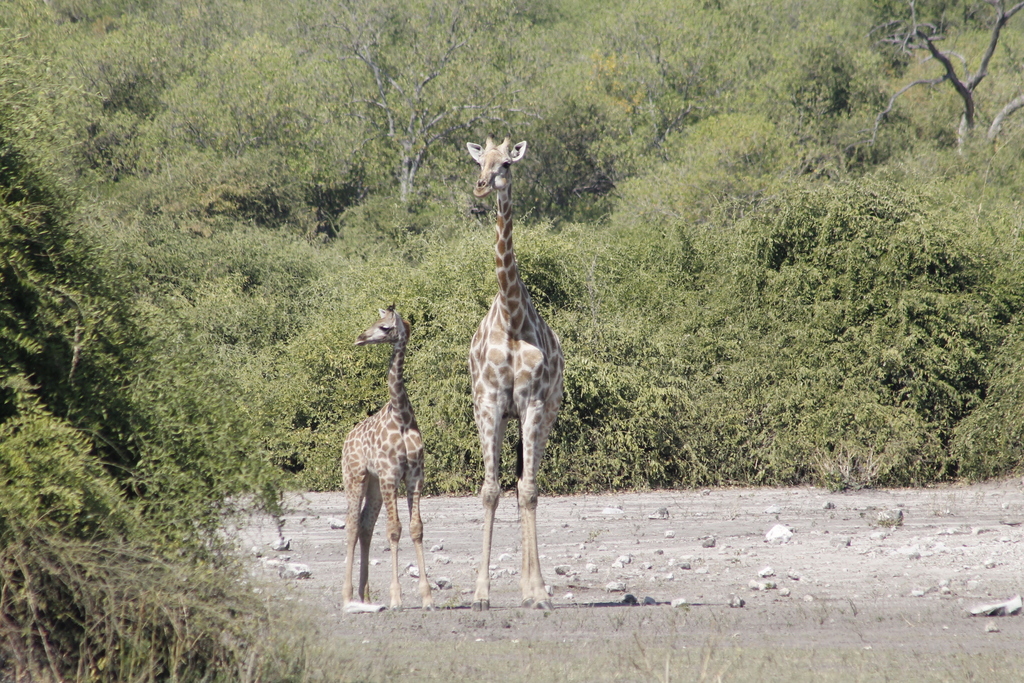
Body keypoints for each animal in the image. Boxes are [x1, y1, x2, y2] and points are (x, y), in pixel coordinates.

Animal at [341, 306, 433, 612]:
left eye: (384, 327)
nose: (359, 338)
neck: (401, 416)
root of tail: (346, 440)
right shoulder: (391, 473)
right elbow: (394, 529)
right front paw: (396, 598)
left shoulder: (415, 474)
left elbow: (416, 528)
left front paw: (427, 596)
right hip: (355, 475)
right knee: (352, 524)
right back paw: (347, 595)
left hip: (374, 484)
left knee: (365, 525)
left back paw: (365, 596)